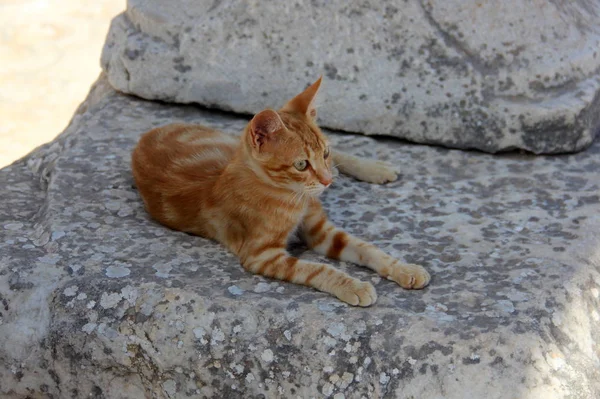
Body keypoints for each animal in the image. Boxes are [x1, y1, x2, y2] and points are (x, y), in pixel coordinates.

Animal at [133, 77, 428, 306]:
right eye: (301, 165)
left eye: (324, 153)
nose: (326, 181)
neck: (293, 198)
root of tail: (148, 133)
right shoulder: (262, 255)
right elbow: (316, 268)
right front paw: (354, 286)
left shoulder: (322, 230)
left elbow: (368, 249)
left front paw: (404, 268)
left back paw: (375, 168)